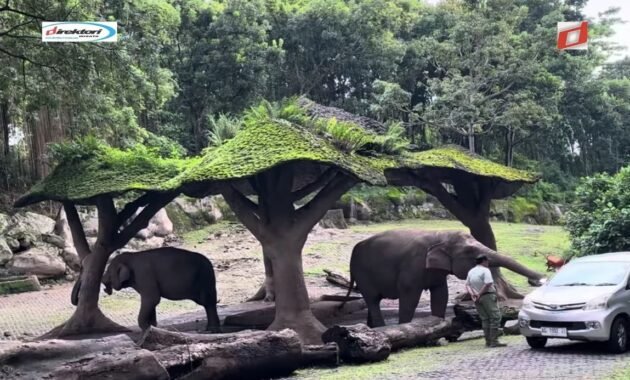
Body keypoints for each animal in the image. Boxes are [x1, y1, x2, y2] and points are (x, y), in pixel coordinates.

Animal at [344, 230, 544, 328]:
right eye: (470, 251)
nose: (540, 280)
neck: (439, 235)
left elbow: (441, 293)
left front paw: (438, 323)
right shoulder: (413, 264)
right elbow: (409, 295)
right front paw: (405, 326)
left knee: (372, 301)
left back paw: (371, 327)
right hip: (361, 272)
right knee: (372, 299)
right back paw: (380, 328)